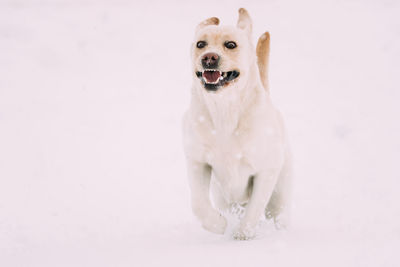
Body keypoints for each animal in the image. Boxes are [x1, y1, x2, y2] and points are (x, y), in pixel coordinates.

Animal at [183, 7, 292, 241]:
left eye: (231, 44)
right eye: (200, 44)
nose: (209, 57)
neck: (225, 108)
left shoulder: (266, 170)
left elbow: (256, 206)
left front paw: (243, 233)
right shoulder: (197, 161)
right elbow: (198, 203)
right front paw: (217, 225)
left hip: (281, 193)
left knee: (277, 214)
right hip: (223, 197)